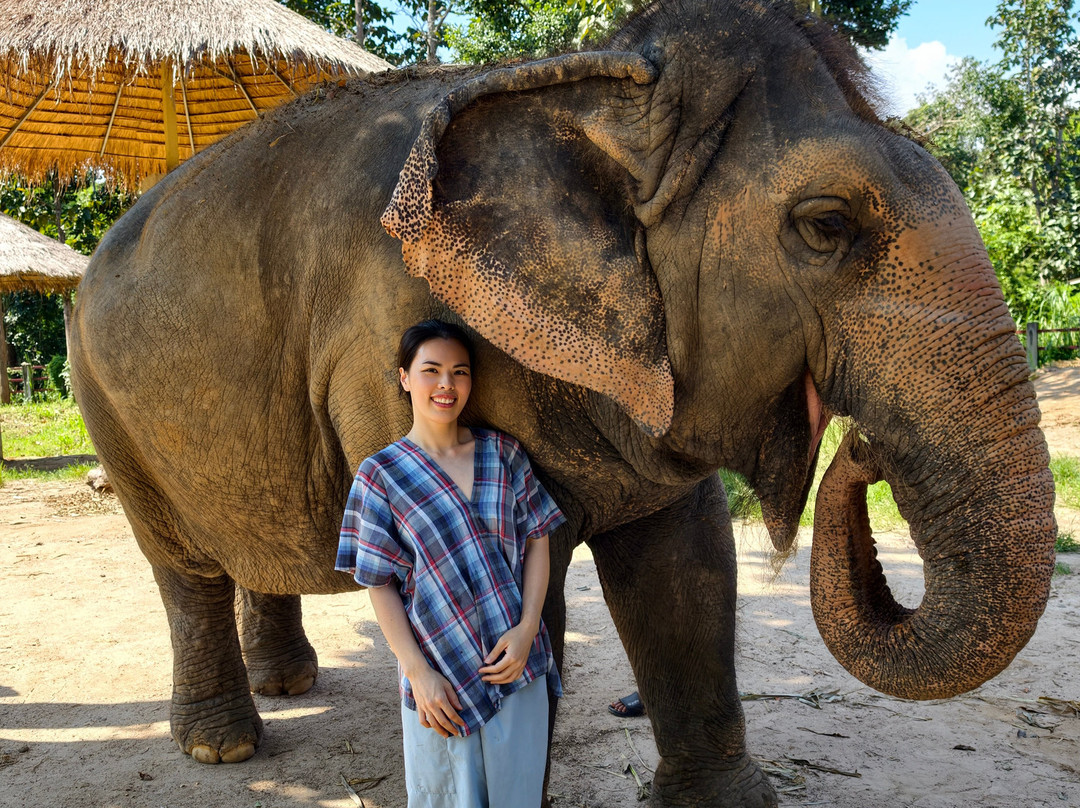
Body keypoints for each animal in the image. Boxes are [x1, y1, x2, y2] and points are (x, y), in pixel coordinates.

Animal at [68, 0, 1057, 804]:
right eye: (827, 225)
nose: (862, 448)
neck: (593, 84)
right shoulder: (380, 344)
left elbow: (688, 564)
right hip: (104, 402)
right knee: (181, 565)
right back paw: (224, 745)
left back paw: (290, 686)